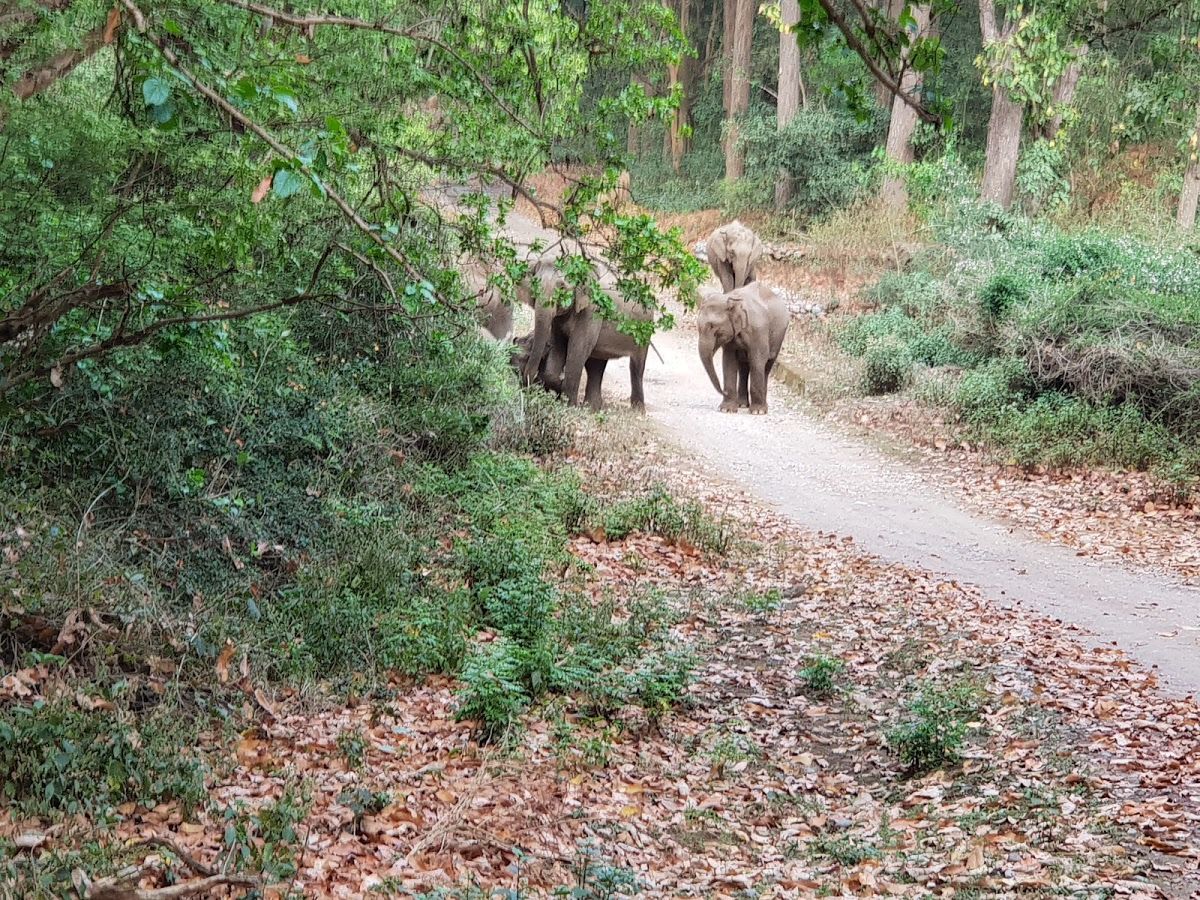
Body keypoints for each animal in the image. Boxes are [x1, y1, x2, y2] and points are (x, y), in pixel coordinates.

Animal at [516, 252, 648, 410]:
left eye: (562, 287)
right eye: (534, 284)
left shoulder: (592, 309)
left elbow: (577, 348)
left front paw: (569, 405)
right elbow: (558, 345)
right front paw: (558, 386)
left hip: (644, 332)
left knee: (636, 367)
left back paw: (637, 411)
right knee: (595, 365)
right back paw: (592, 408)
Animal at [700, 283, 792, 417]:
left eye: (713, 328)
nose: (724, 392)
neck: (731, 299)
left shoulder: (758, 331)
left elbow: (758, 360)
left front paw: (758, 412)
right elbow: (729, 361)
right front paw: (726, 409)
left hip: (778, 337)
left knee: (766, 366)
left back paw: (761, 406)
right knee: (744, 367)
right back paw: (742, 404)